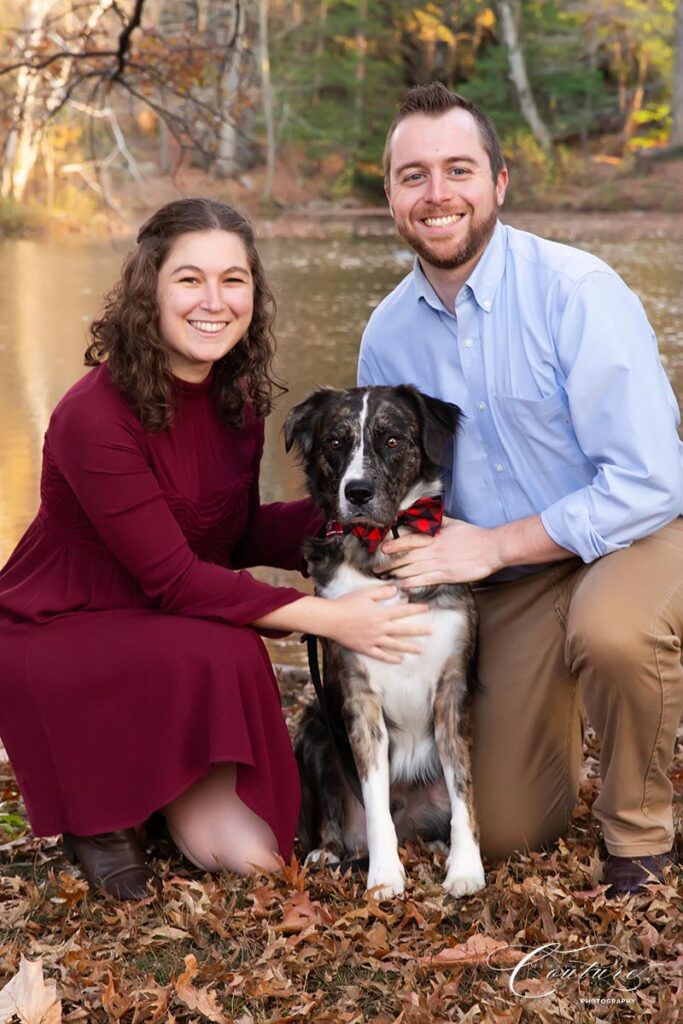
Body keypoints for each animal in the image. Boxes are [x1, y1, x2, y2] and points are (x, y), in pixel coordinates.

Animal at [282, 387, 485, 901]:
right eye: (335, 442)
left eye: (391, 439)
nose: (357, 492)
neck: (380, 550)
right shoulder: (359, 698)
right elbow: (374, 800)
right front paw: (385, 875)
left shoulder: (452, 688)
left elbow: (463, 792)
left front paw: (465, 867)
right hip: (314, 728)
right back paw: (329, 851)